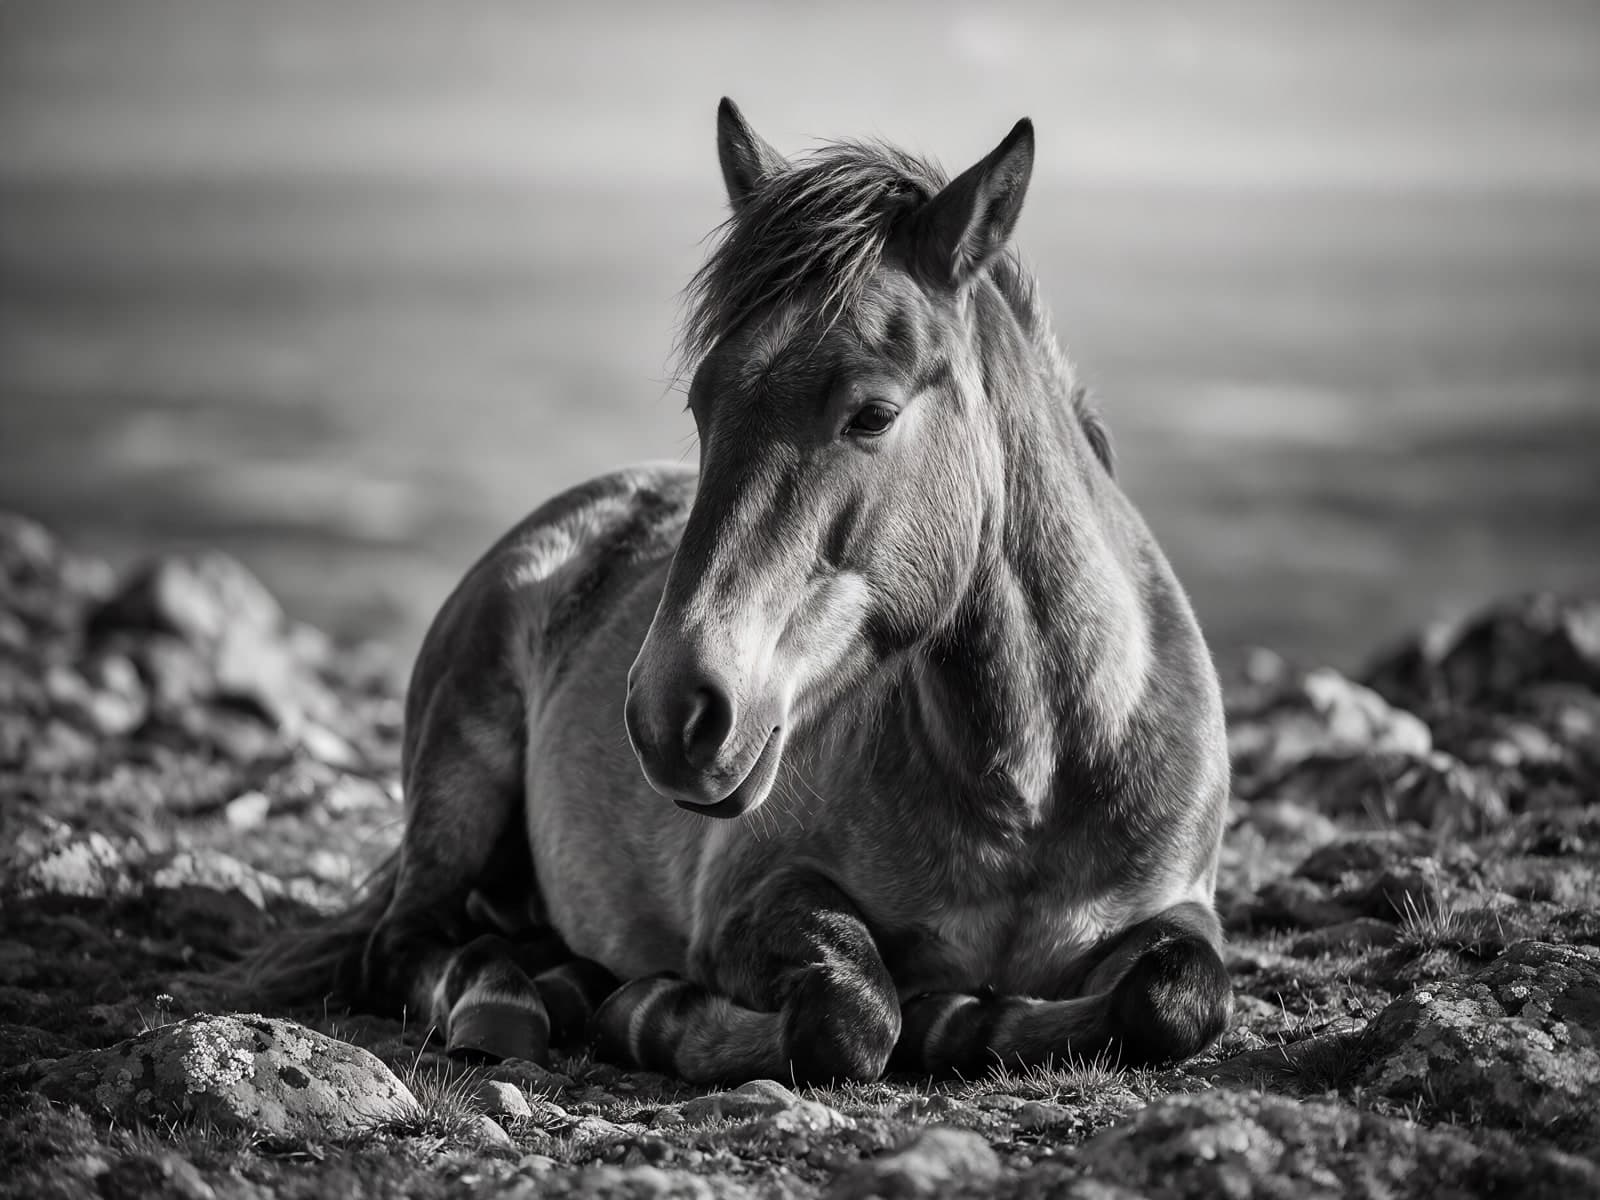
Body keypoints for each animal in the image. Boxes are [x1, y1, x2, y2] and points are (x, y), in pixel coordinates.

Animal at [247, 98, 1233, 1085]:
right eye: (701, 404)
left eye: (873, 414)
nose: (669, 713)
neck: (1034, 788)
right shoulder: (748, 898)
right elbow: (851, 1009)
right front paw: (656, 1013)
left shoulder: (1178, 906)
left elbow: (1176, 997)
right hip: (460, 776)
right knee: (411, 943)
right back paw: (516, 1002)